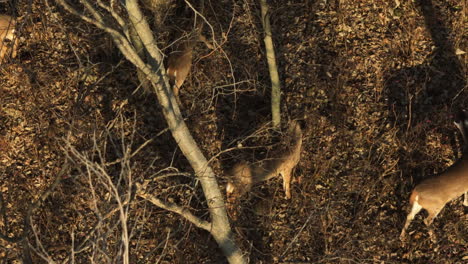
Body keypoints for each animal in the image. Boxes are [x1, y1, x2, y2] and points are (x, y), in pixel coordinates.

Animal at [398, 109, 468, 239]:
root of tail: (416, 193)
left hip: (418, 205)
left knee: (410, 215)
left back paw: (402, 237)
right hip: (435, 205)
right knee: (426, 220)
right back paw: (434, 238)